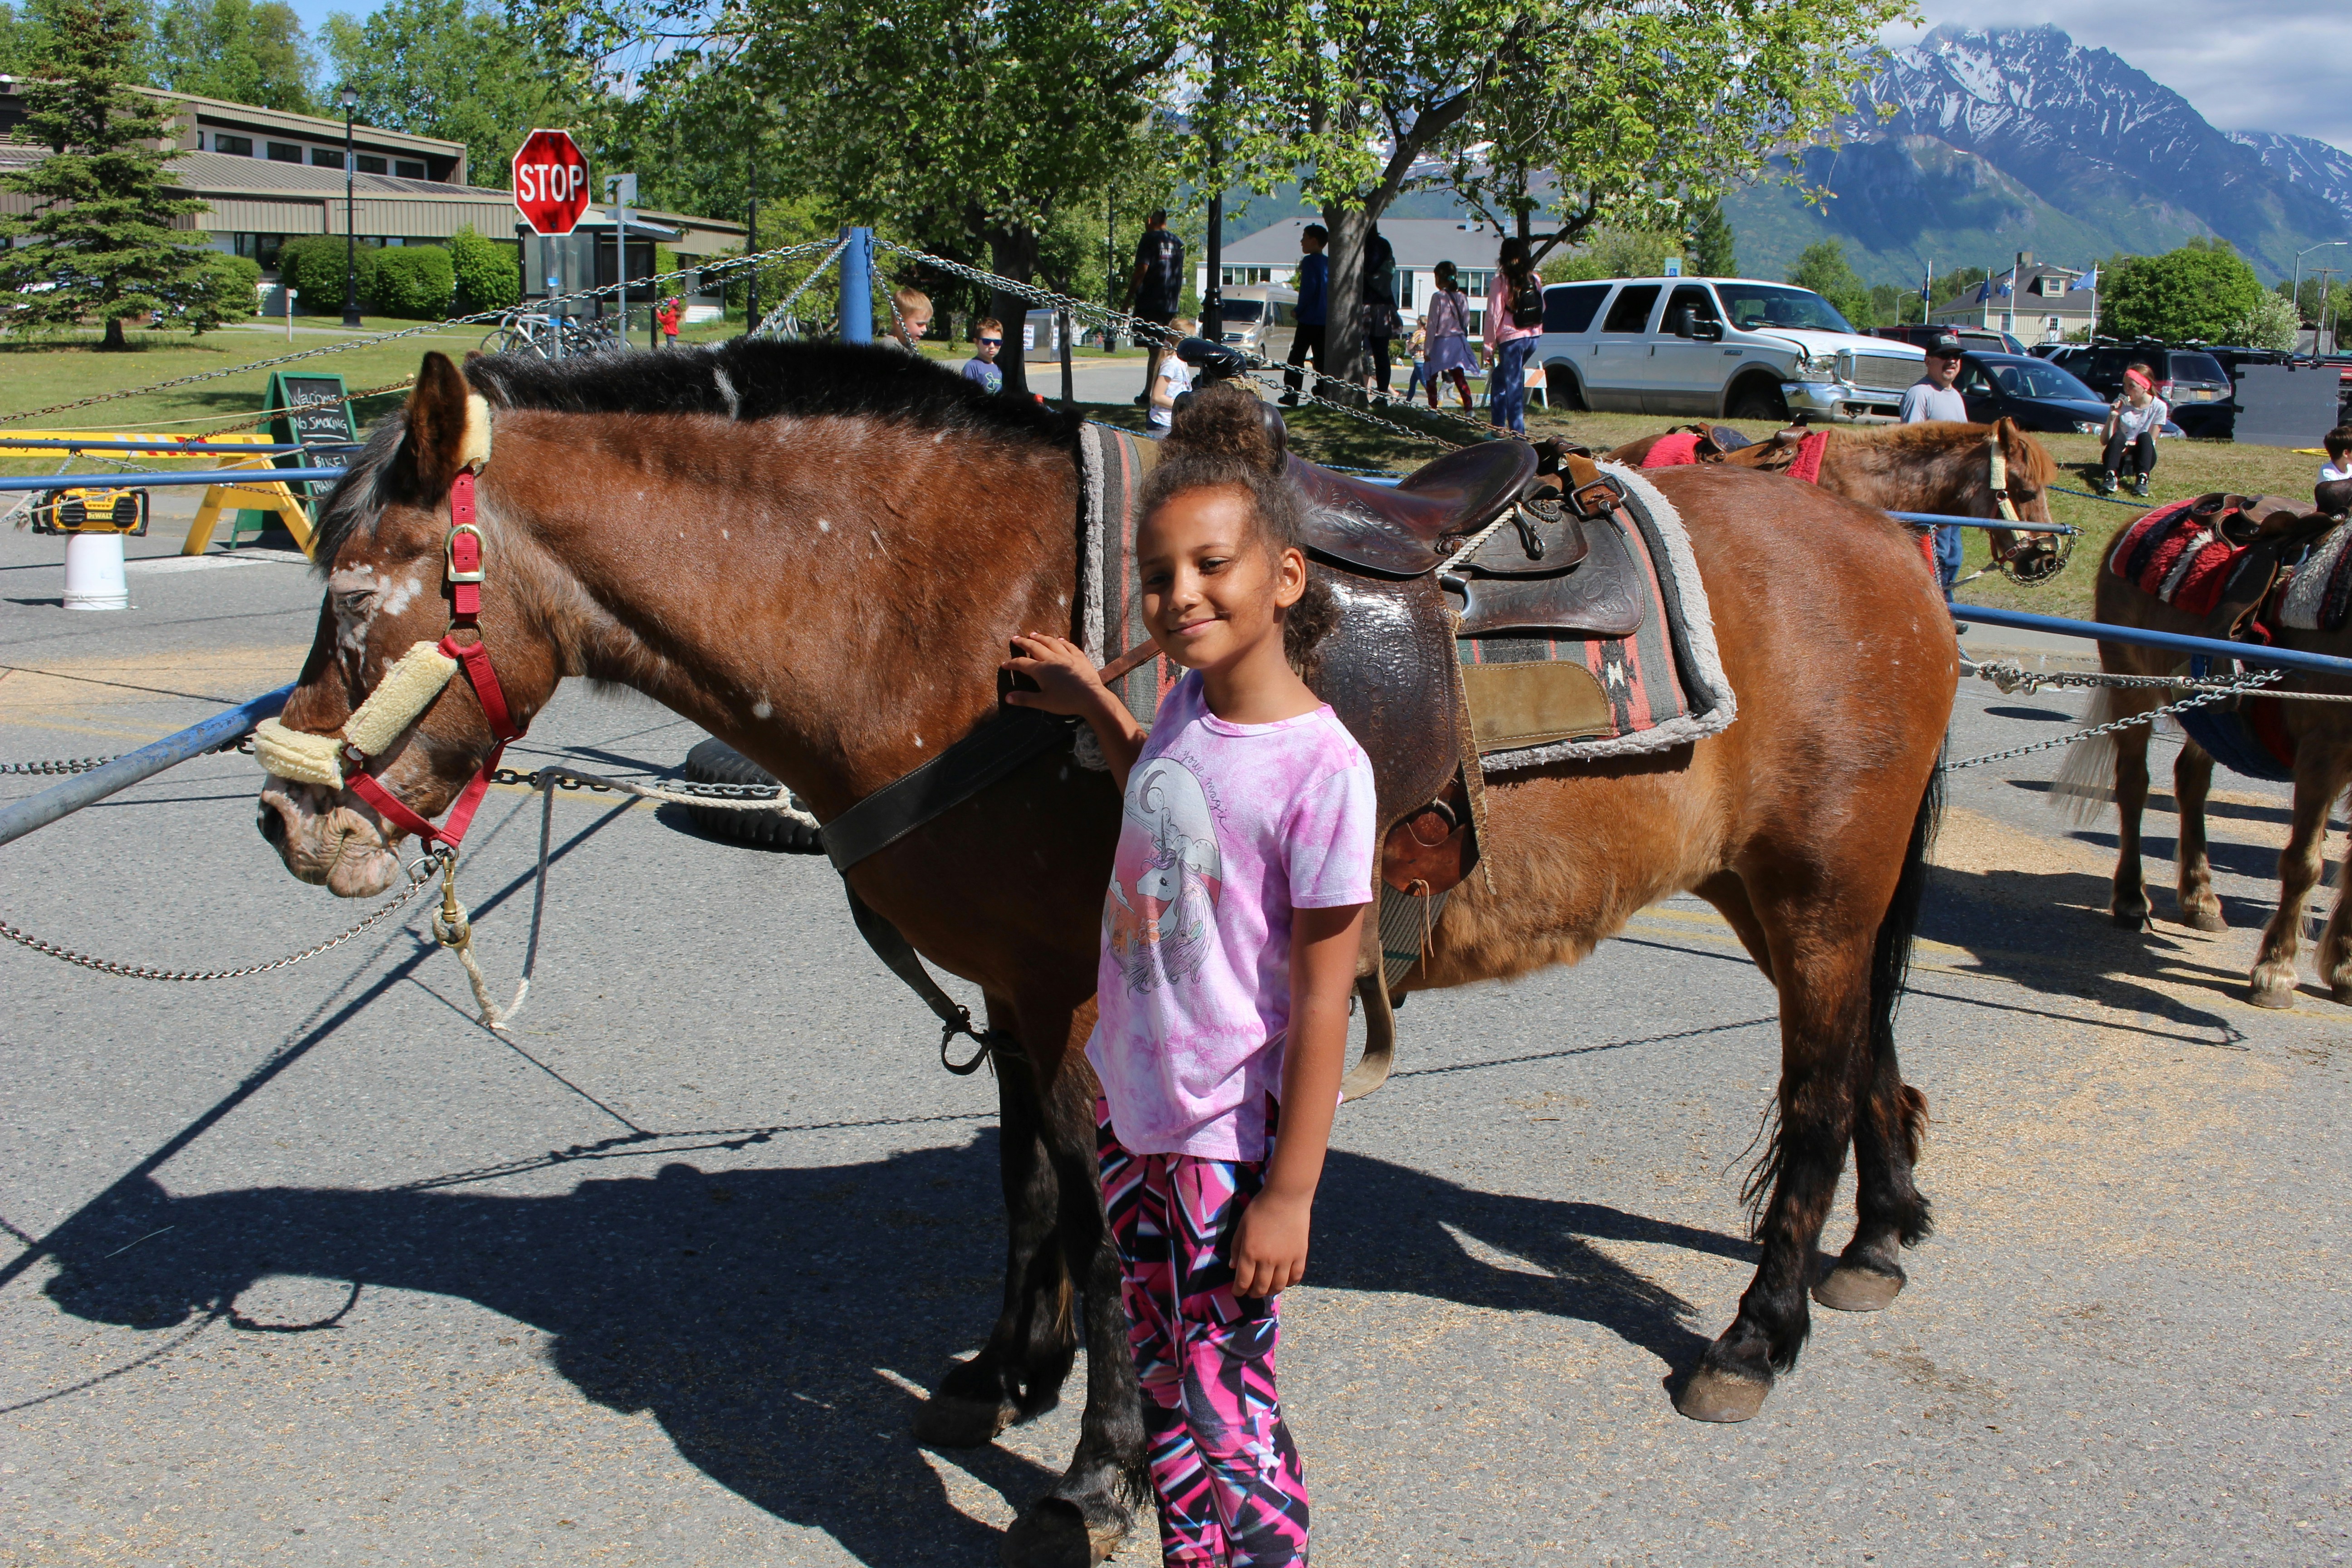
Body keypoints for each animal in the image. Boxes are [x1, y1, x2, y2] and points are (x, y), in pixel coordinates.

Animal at [253, 341, 1955, 1563]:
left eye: (362, 597)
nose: (283, 815)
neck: (943, 615)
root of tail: (1878, 537)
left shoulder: (1089, 989)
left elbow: (1095, 1200)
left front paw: (1101, 1471)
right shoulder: (1016, 984)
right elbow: (1023, 1184)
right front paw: (1006, 1371)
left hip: (1816, 890)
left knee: (1814, 1092)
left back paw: (1757, 1333)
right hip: (1780, 894)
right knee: (1868, 1046)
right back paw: (1879, 1237)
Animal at [2055, 494, 2352, 1008]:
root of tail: (2142, 518)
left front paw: (2346, 969)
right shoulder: (2323, 752)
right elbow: (2304, 863)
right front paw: (2275, 970)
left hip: (2208, 716)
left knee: (2191, 782)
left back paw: (2200, 898)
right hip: (2130, 681)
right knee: (2133, 786)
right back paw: (2131, 898)